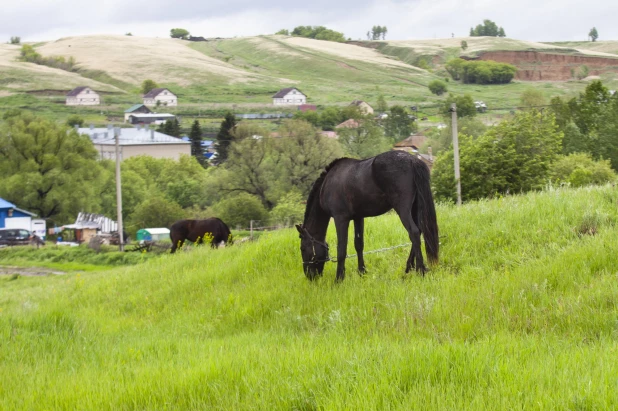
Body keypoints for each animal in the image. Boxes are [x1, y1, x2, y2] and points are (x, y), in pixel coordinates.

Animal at [298, 151, 438, 284]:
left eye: (303, 249)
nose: (309, 276)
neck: (328, 183)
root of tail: (412, 160)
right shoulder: (358, 217)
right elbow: (359, 244)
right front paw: (362, 272)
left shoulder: (340, 219)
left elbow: (341, 249)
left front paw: (339, 279)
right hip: (415, 207)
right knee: (419, 231)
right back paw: (409, 267)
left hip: (402, 209)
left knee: (414, 233)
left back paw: (420, 270)